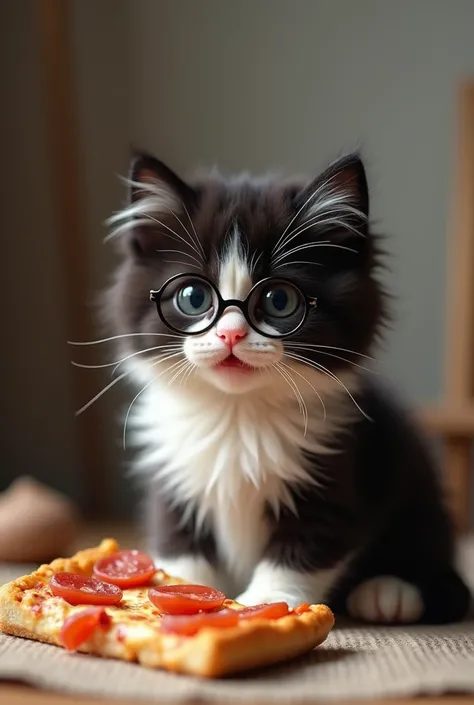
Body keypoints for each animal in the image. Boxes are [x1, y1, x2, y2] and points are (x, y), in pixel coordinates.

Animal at [101, 151, 470, 624]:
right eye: (193, 297)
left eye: (279, 301)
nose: (231, 334)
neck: (236, 414)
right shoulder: (172, 475)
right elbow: (180, 542)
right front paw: (181, 591)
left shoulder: (337, 463)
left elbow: (308, 544)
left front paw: (269, 600)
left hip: (415, 482)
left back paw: (389, 591)